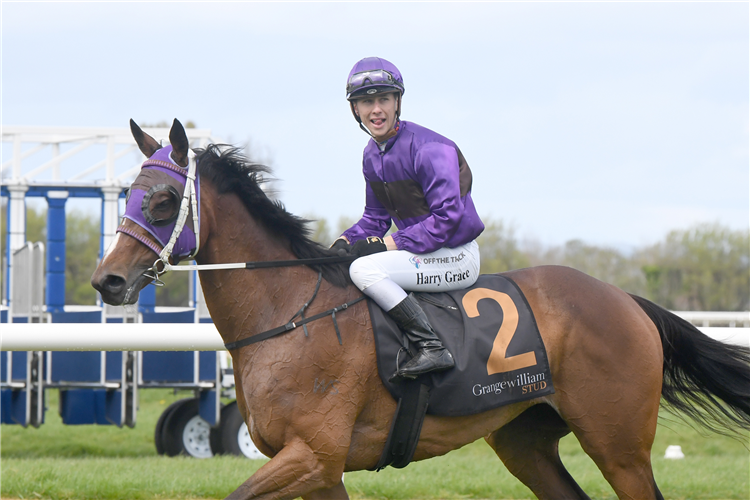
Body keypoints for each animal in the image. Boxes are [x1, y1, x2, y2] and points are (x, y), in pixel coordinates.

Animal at [92, 118, 750, 500]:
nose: (107, 280)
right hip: (526, 440)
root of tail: (627, 301)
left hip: (619, 446)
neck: (288, 317)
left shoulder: (312, 455)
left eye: (163, 199)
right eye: (128, 196)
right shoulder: (321, 469)